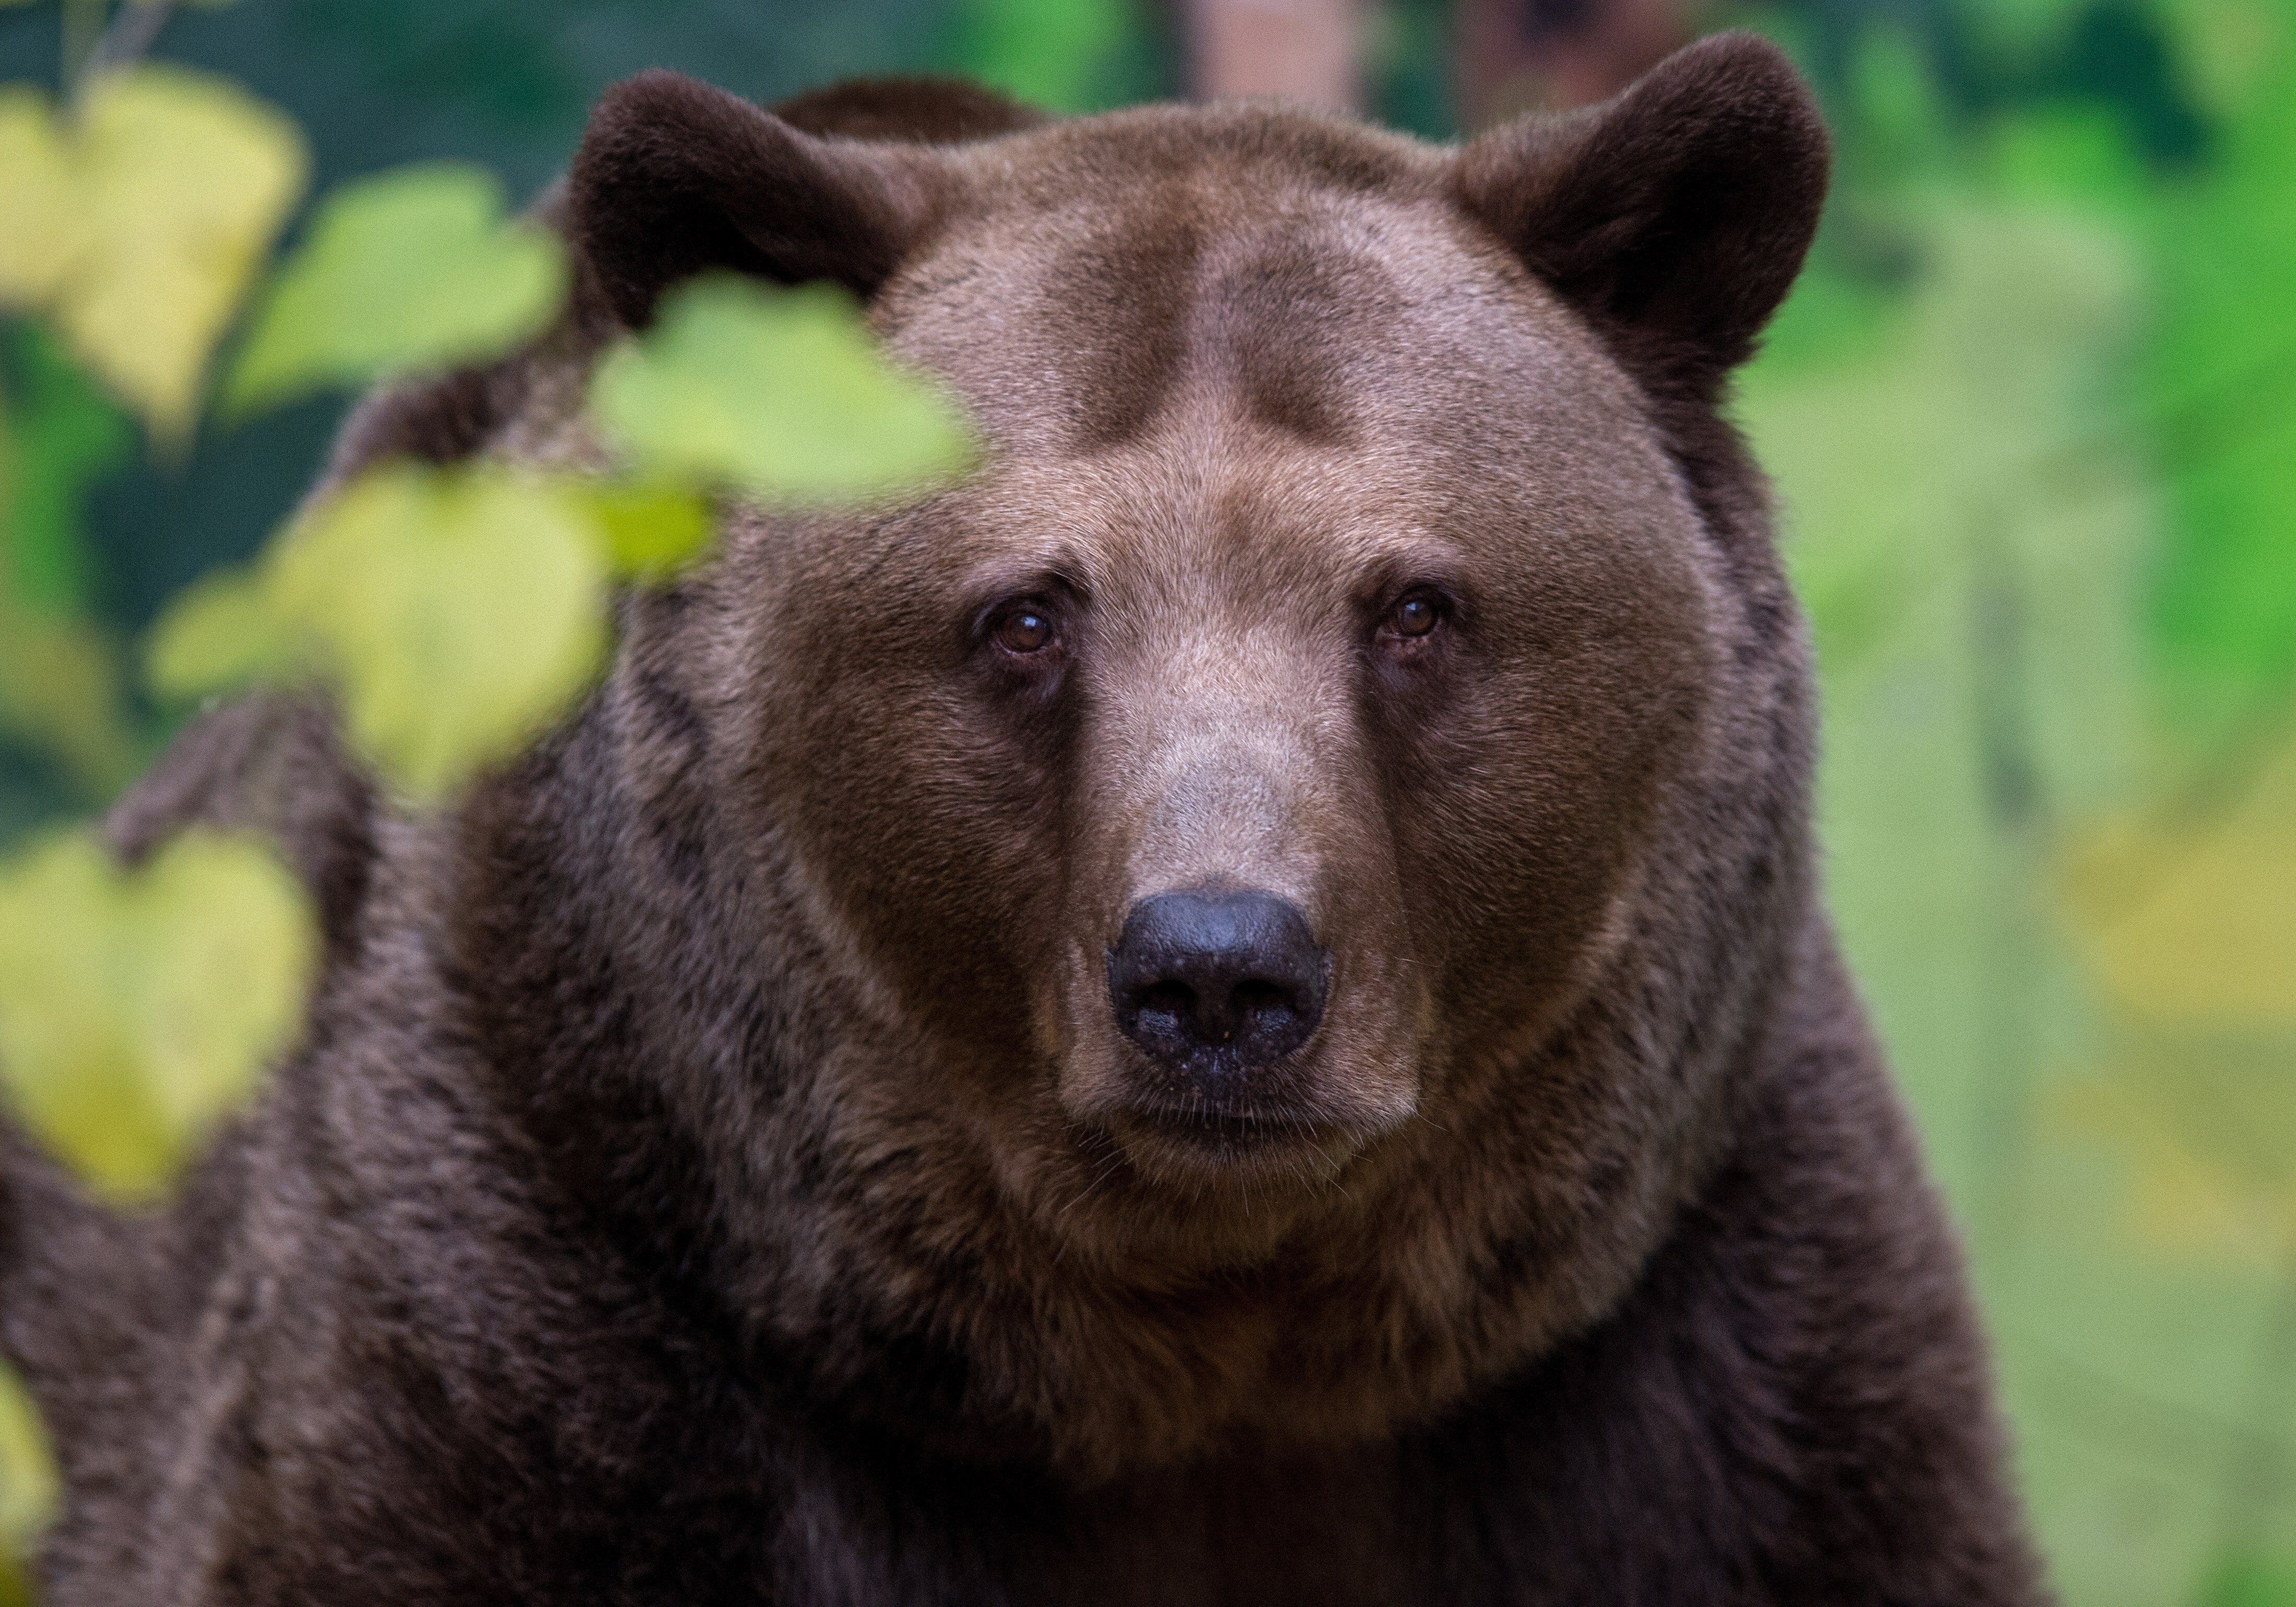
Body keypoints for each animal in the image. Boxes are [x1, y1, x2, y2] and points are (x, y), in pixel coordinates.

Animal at [0, 31, 2048, 1598]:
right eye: (1025, 613)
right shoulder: (535, 1283)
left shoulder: (1697, 1350)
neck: (1206, 1366)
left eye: (1414, 604)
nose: (1218, 973)